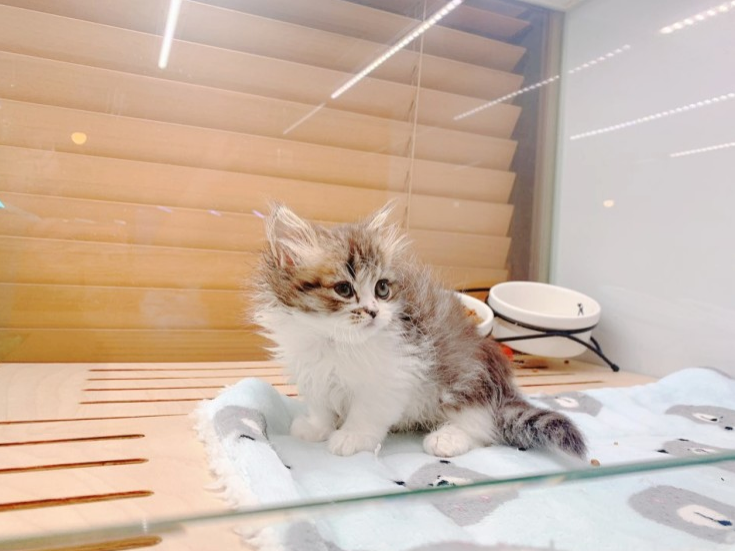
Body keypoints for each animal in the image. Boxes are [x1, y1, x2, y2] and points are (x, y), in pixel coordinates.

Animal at [252, 203, 587, 458]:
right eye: (344, 289)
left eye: (382, 288)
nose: (374, 311)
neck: (333, 341)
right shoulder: (312, 371)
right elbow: (321, 405)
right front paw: (316, 427)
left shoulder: (394, 374)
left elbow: (366, 412)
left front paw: (352, 437)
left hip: (464, 378)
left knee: (483, 426)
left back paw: (447, 438)